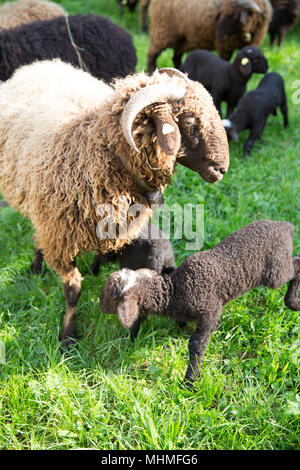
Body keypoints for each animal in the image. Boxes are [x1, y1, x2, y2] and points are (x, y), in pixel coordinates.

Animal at [0, 58, 229, 346]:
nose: (222, 168)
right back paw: (36, 265)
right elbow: (73, 290)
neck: (98, 150)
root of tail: (39, 64)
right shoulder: (60, 238)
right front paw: (68, 336)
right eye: (188, 120)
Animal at [99, 220, 300, 390]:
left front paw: (190, 381)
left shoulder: (210, 312)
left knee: (295, 265)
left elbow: (196, 345)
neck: (175, 291)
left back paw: (293, 302)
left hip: (275, 271)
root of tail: (285, 226)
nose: (100, 306)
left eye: (110, 295)